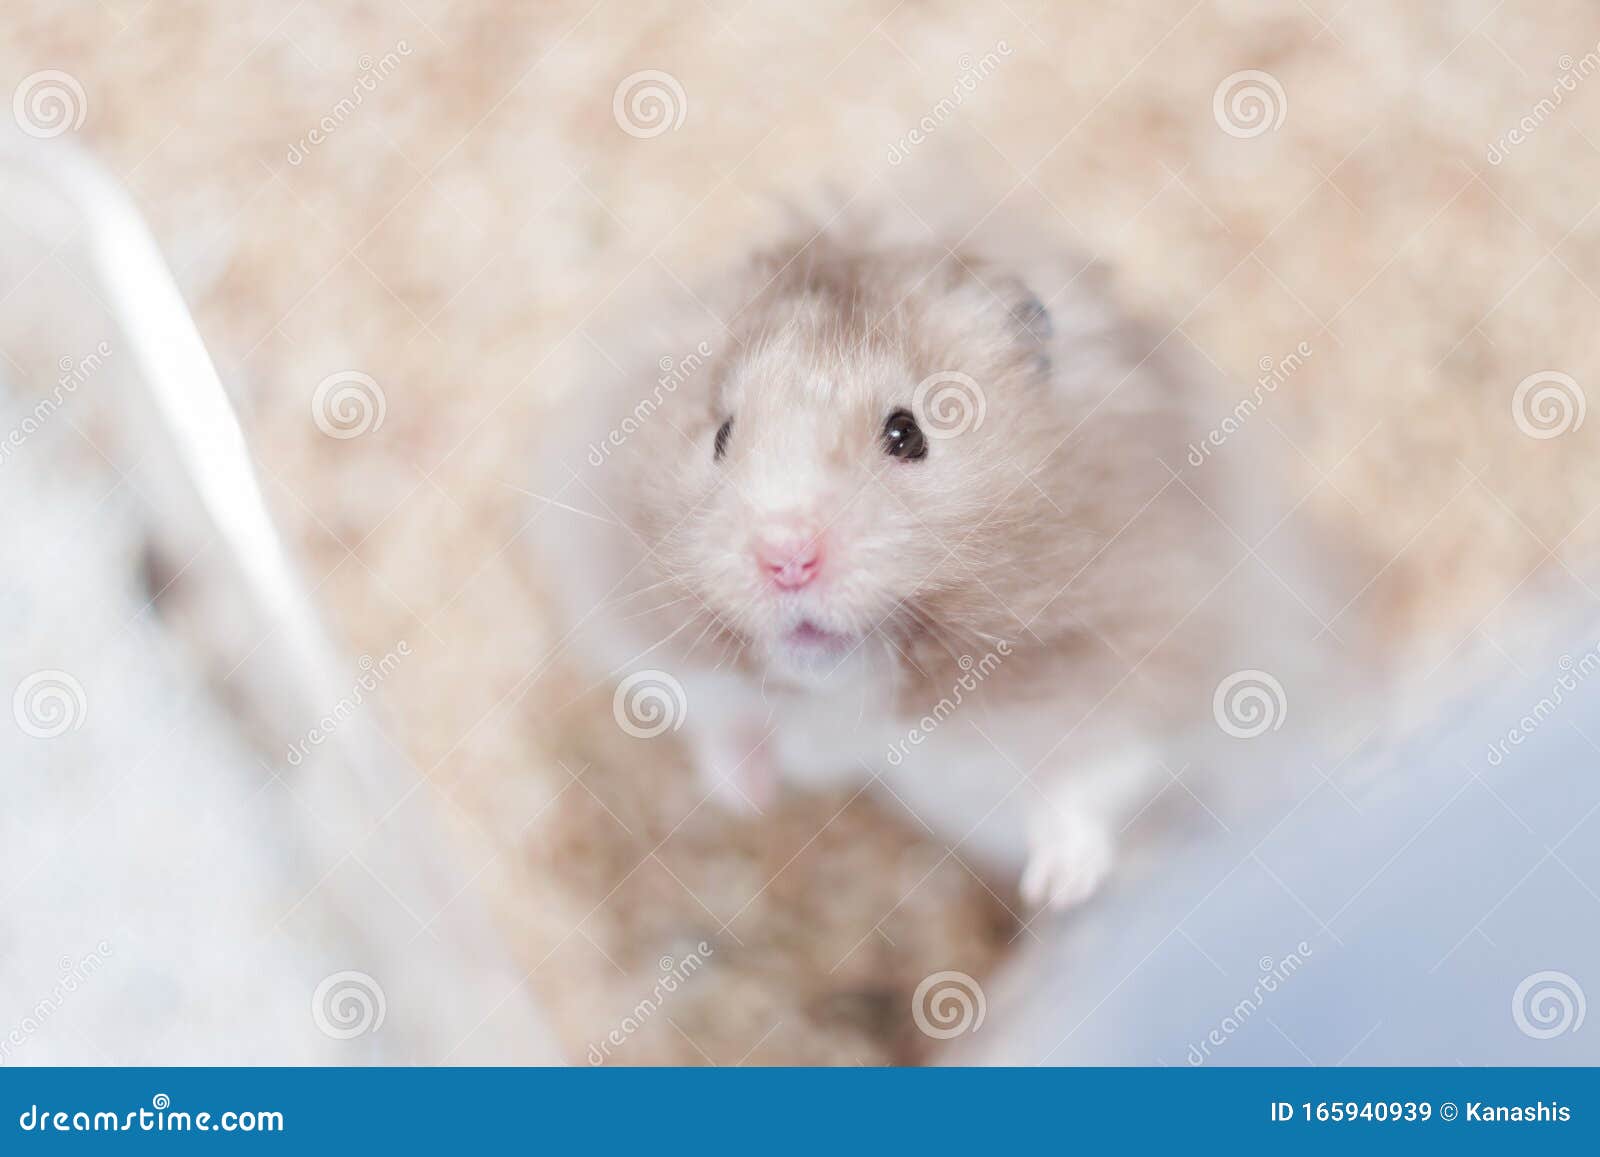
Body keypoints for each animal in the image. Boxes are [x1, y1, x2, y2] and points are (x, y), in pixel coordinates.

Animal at [536, 208, 1244, 909]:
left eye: (908, 434)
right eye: (721, 436)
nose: (785, 559)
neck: (860, 697)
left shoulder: (1155, 664)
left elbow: (1092, 779)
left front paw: (1059, 886)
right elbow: (719, 720)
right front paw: (743, 798)